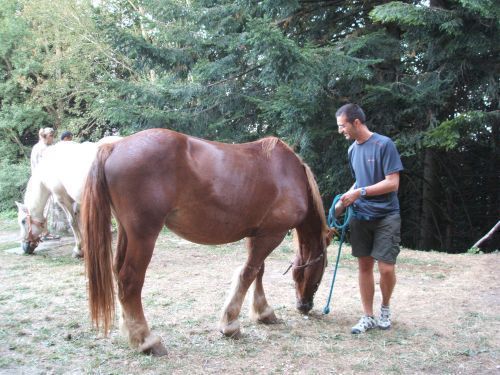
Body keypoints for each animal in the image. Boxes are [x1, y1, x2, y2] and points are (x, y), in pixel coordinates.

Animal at [82, 129, 332, 356]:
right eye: (321, 274)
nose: (305, 306)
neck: (289, 174)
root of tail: (115, 146)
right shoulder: (271, 235)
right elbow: (248, 274)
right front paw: (231, 325)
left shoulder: (258, 234)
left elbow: (257, 272)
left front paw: (263, 312)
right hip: (143, 237)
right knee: (129, 281)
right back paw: (147, 340)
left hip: (127, 234)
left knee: (118, 274)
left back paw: (132, 333)